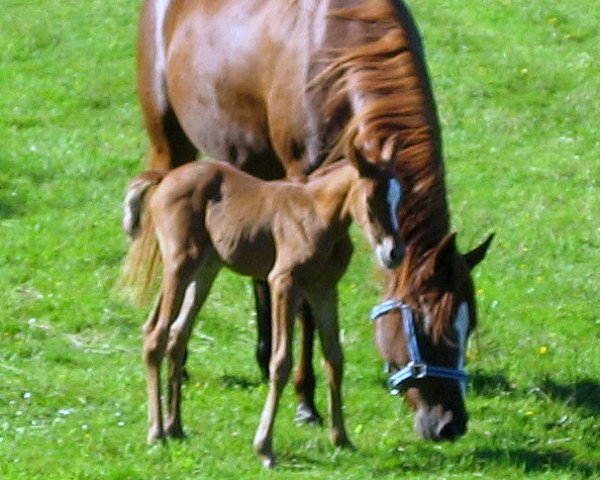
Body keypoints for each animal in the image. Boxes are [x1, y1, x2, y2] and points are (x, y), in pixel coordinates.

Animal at [122, 158, 404, 468]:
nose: (395, 253)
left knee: (177, 333)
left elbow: (335, 359)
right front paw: (264, 448)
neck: (317, 213)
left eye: (399, 197)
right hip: (180, 263)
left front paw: (341, 438)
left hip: (205, 268)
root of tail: (166, 176)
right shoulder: (283, 283)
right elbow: (280, 363)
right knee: (156, 335)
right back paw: (157, 432)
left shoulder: (324, 291)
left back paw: (175, 428)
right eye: (370, 200)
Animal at [132, 0, 492, 442]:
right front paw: (306, 403)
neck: (337, 50)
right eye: (426, 328)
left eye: (468, 326)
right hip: (174, 146)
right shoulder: (301, 186)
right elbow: (303, 308)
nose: (451, 424)